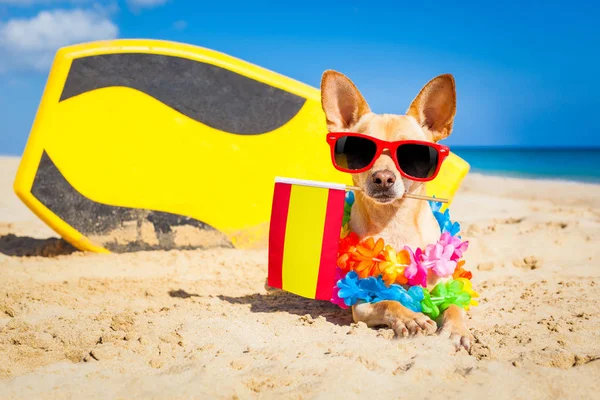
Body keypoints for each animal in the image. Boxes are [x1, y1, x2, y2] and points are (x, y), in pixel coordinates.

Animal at [322, 71, 472, 350]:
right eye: (360, 151)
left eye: (414, 154)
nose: (383, 178)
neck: (394, 221)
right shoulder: (361, 305)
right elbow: (388, 302)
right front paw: (411, 317)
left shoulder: (445, 289)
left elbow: (455, 307)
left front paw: (457, 329)